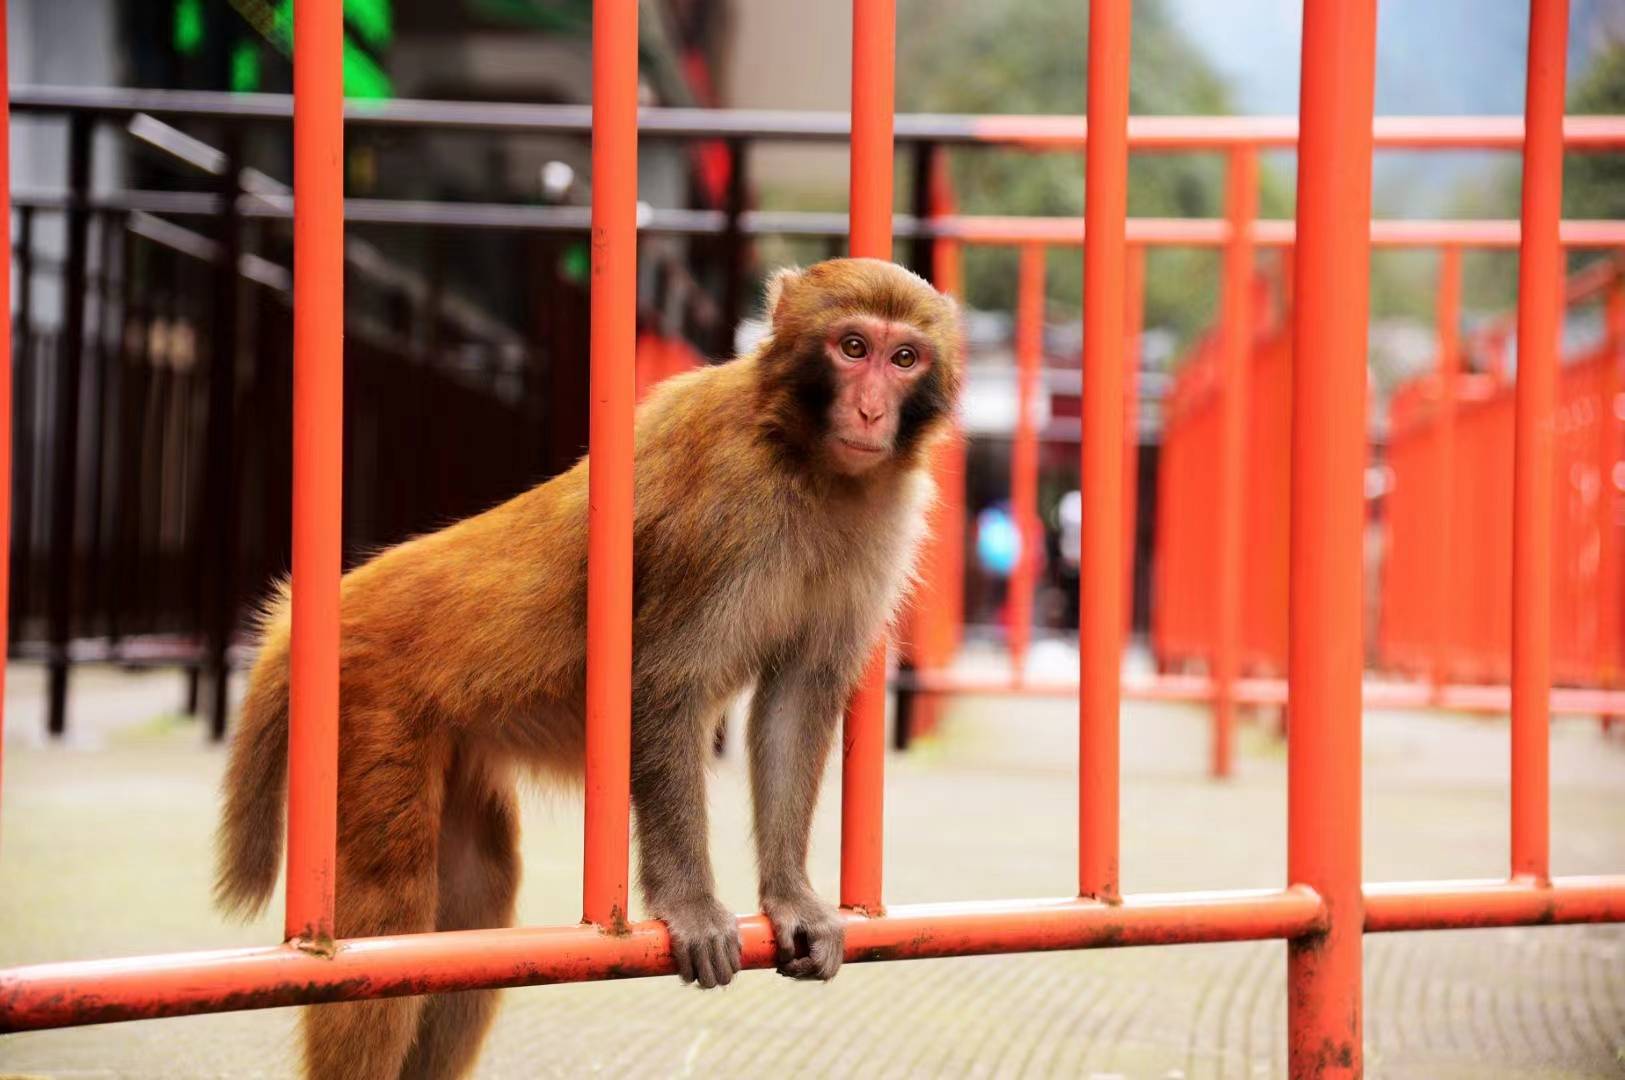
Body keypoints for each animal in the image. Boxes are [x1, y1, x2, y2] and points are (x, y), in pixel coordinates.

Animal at [209, 254, 955, 1078]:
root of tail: (340, 603)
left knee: (473, 903)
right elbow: (666, 682)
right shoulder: (727, 509)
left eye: (904, 357)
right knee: (388, 913)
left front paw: (791, 896)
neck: (804, 459)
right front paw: (689, 904)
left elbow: (795, 700)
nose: (870, 412)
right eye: (852, 348)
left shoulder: (879, 525)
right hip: (365, 707)